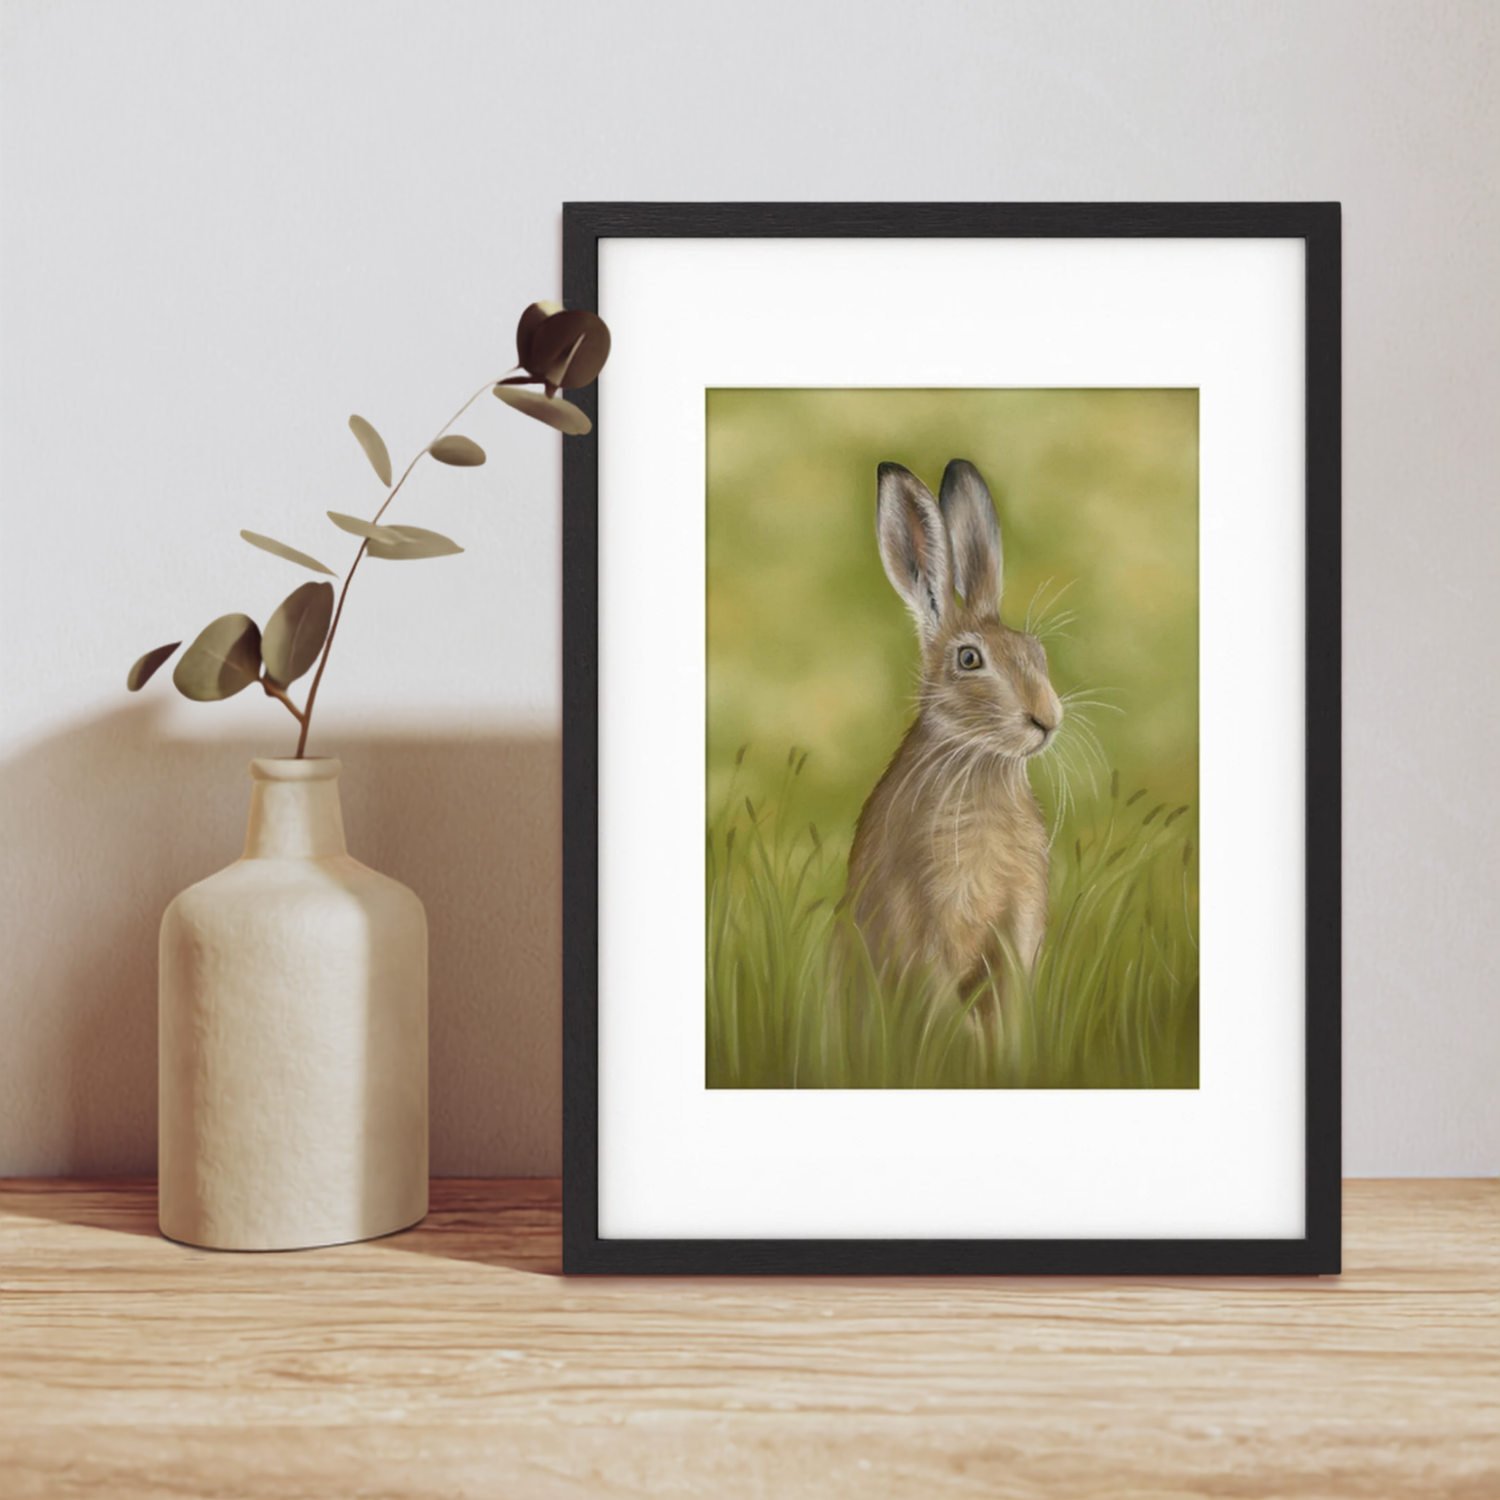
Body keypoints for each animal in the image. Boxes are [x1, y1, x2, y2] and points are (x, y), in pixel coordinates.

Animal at [845, 460, 1062, 1011]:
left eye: (1036, 651)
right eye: (968, 659)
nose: (1047, 718)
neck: (981, 763)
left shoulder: (1018, 931)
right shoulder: (927, 927)